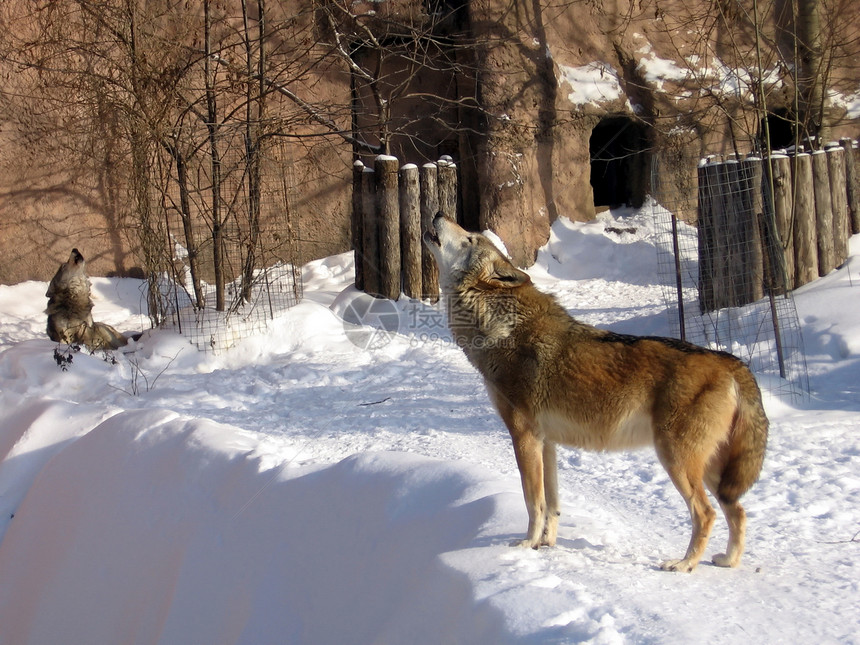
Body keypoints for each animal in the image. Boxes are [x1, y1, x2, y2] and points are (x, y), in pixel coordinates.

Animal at [426, 214, 768, 572]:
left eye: (470, 239)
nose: (438, 214)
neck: (501, 324)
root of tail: (734, 364)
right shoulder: (547, 442)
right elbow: (552, 503)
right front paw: (546, 545)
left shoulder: (524, 436)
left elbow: (533, 501)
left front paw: (526, 545)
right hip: (714, 471)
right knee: (738, 510)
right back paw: (727, 561)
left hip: (676, 460)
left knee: (706, 513)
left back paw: (684, 564)